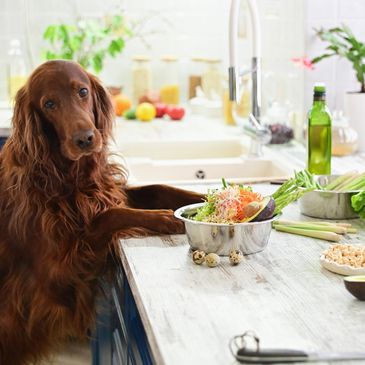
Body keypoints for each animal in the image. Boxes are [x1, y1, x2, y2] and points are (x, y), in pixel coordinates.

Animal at [0, 60, 202, 364]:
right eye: (49, 103)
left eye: (82, 91)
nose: (85, 139)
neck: (64, 173)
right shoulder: (57, 273)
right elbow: (108, 216)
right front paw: (164, 218)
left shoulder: (107, 191)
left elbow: (158, 187)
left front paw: (214, 198)